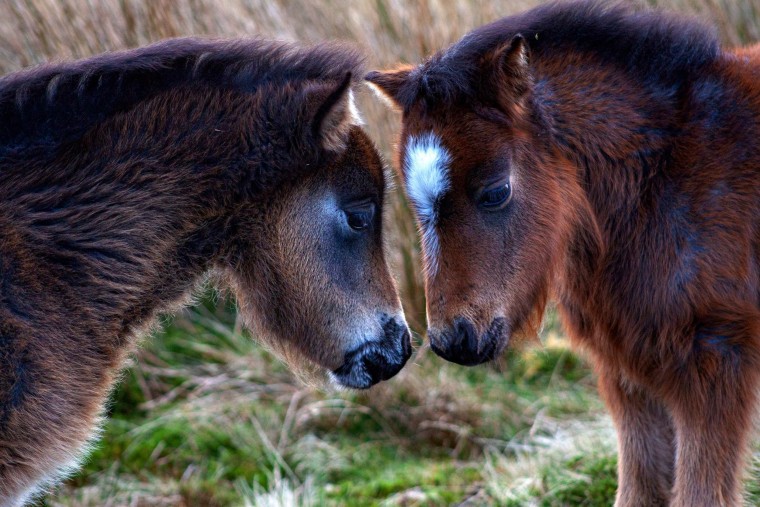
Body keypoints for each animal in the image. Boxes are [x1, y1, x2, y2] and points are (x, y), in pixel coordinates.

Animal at [368, 1, 760, 506]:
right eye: (413, 201)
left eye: (496, 191)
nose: (454, 341)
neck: (661, 181)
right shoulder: (628, 369)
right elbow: (640, 488)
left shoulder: (716, 363)